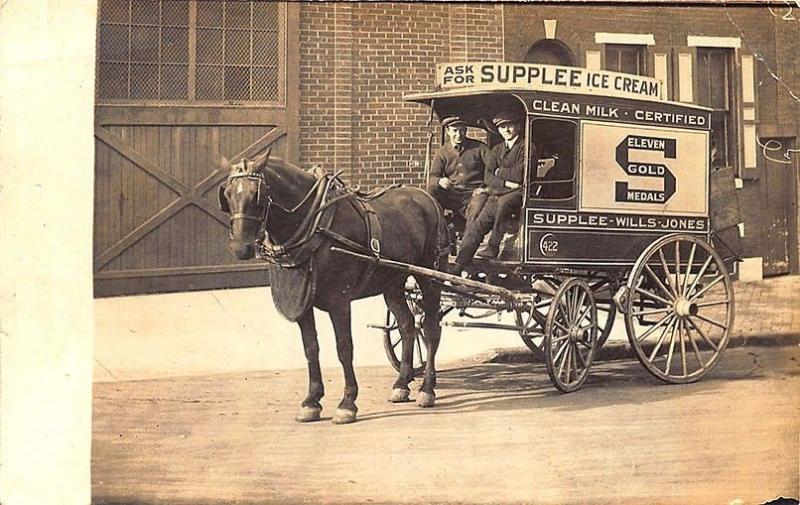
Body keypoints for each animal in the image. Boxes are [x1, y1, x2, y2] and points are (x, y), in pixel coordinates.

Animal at [216, 149, 446, 422]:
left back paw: (427, 389)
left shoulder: (340, 301)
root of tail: (428, 198)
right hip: (392, 282)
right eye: (227, 195)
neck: (315, 224)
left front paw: (347, 403)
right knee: (407, 325)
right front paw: (311, 401)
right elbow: (311, 348)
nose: (241, 247)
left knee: (430, 328)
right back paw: (401, 384)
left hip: (429, 275)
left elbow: (344, 348)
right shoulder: (303, 303)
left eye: (257, 195)